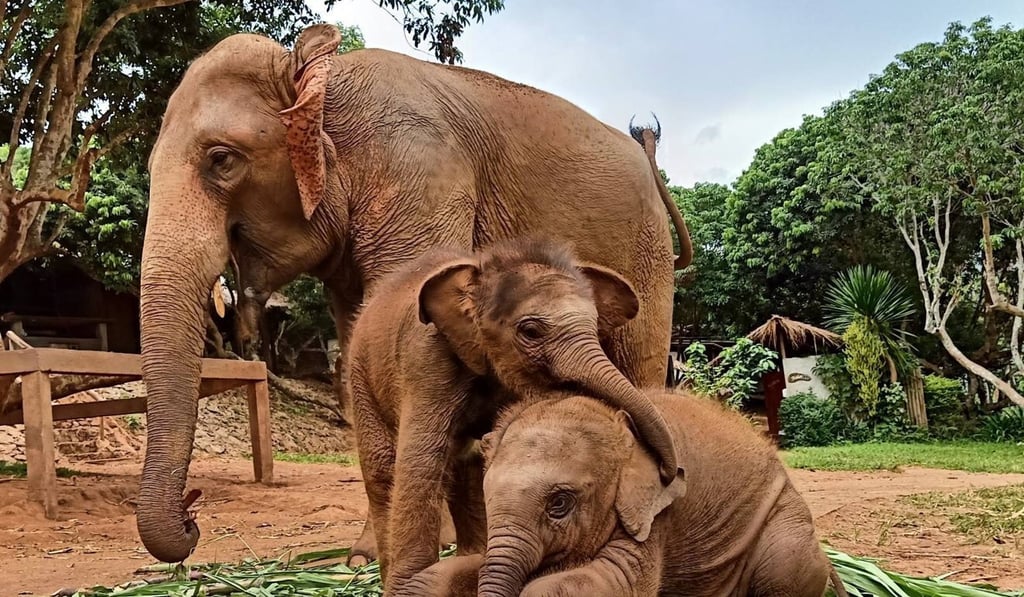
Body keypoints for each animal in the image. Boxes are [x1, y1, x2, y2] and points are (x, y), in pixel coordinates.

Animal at [343, 236, 681, 593]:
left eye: (594, 326)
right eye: (530, 331)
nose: (669, 471)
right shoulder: (426, 359)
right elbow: (420, 465)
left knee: (466, 467)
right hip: (360, 375)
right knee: (384, 471)